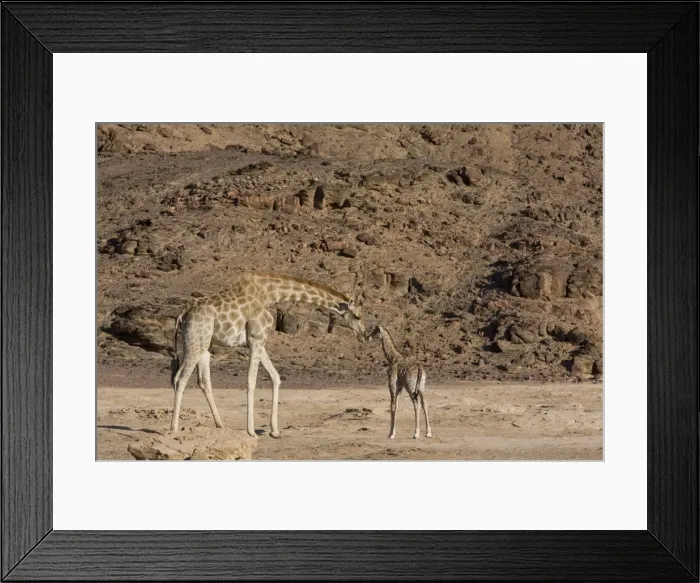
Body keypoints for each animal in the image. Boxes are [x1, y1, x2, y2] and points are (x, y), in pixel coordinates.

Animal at [169, 271, 366, 437]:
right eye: (357, 316)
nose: (364, 335)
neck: (271, 295)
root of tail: (183, 313)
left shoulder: (259, 341)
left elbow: (276, 377)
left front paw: (275, 430)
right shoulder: (256, 339)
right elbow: (251, 381)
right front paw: (251, 431)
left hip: (203, 345)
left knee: (200, 380)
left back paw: (220, 425)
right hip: (196, 341)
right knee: (180, 379)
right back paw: (174, 428)